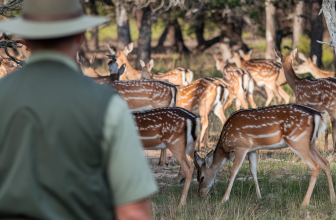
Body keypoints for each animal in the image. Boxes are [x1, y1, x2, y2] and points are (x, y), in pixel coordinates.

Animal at [193, 104, 334, 207]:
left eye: (201, 177)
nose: (200, 194)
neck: (225, 146)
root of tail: (319, 115)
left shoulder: (241, 146)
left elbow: (233, 172)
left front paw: (223, 199)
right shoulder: (252, 150)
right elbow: (253, 172)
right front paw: (259, 197)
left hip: (297, 140)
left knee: (315, 166)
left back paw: (304, 203)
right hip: (311, 143)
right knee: (325, 163)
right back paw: (332, 198)